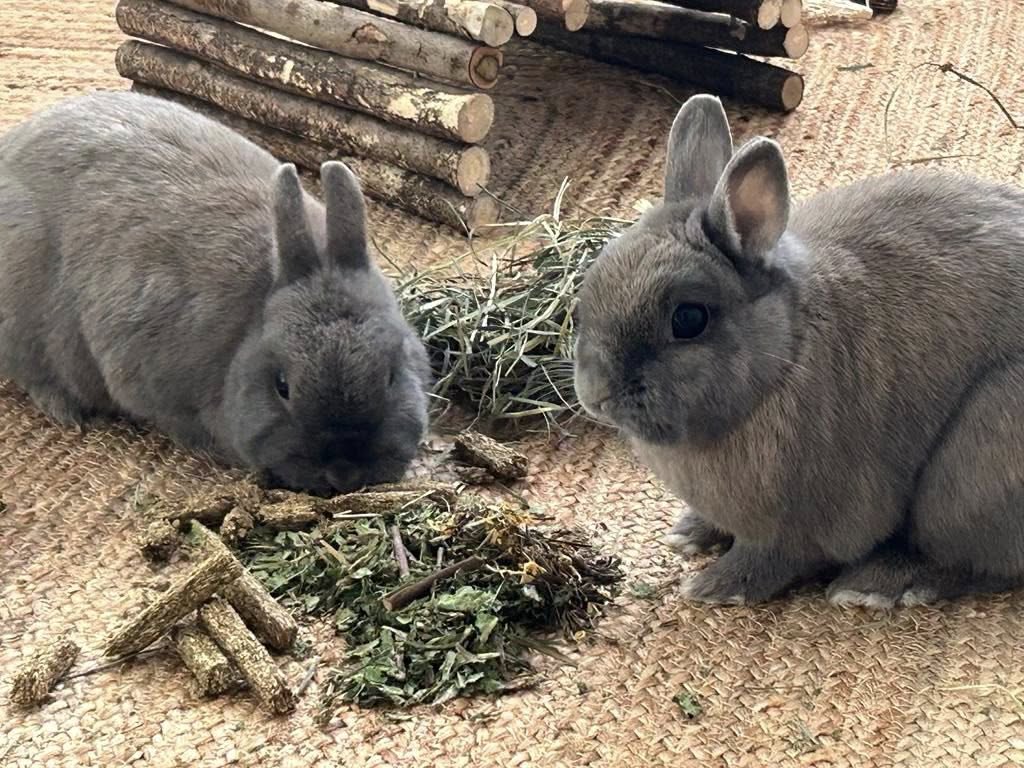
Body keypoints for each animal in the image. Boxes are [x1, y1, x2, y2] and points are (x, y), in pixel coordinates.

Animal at [573, 93, 1024, 608]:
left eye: (688, 319)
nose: (595, 394)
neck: (785, 355)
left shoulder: (795, 527)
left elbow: (770, 558)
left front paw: (714, 588)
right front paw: (689, 534)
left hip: (972, 469)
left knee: (973, 562)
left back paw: (876, 586)